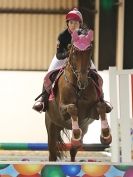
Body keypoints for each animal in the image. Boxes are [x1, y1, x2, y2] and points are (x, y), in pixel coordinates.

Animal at [44, 29, 111, 162]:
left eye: (89, 51)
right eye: (74, 52)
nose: (83, 82)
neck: (78, 87)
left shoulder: (91, 112)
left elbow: (101, 107)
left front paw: (106, 136)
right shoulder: (62, 110)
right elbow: (72, 108)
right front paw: (75, 133)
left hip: (84, 129)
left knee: (73, 151)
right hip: (52, 126)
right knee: (52, 153)